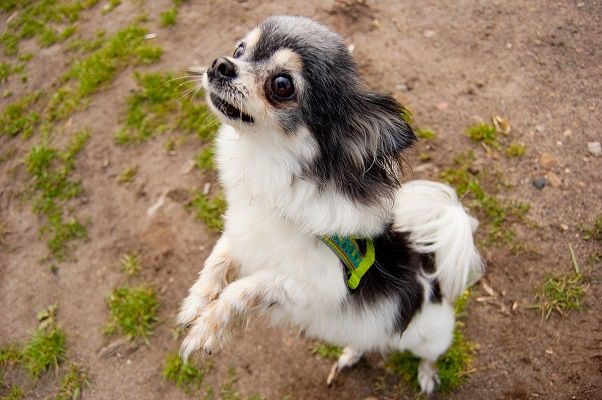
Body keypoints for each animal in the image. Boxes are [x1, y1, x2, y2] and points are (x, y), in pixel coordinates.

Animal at [178, 15, 483, 395]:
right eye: (239, 49)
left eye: (282, 85)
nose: (220, 64)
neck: (265, 162)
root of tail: (430, 270)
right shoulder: (241, 234)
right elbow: (217, 261)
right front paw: (194, 304)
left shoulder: (315, 288)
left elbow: (244, 289)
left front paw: (208, 329)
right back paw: (352, 353)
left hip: (431, 337)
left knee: (430, 355)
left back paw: (427, 375)